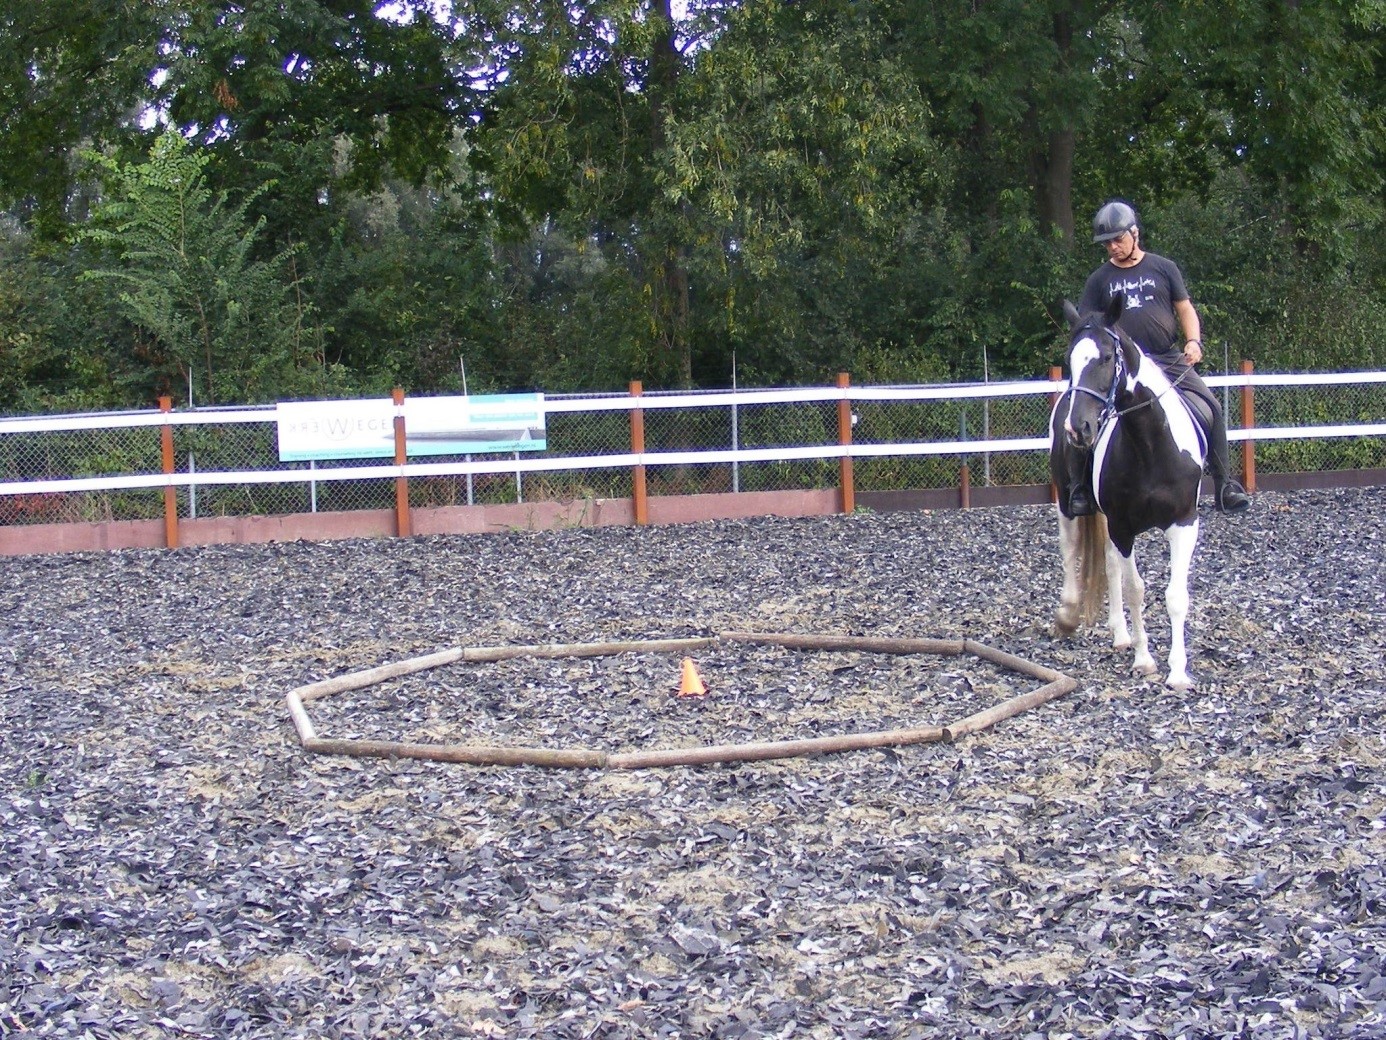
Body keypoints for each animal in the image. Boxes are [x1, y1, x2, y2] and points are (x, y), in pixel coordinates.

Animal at [1042, 296, 1208, 687]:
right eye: (1070, 359)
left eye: (1106, 357)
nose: (1078, 428)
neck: (1150, 444)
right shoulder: (1122, 527)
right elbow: (1136, 589)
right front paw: (1144, 659)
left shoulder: (1184, 523)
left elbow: (1176, 595)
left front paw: (1178, 672)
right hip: (1068, 504)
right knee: (1071, 549)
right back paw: (1068, 616)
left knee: (1110, 564)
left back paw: (1120, 635)